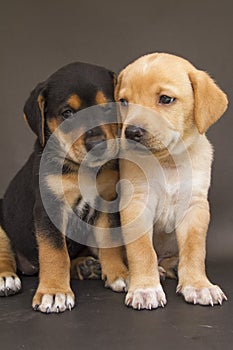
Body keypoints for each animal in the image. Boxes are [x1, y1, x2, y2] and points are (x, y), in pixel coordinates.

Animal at [0, 61, 127, 314]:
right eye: (68, 113)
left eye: (107, 108)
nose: (97, 144)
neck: (81, 169)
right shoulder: (49, 209)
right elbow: (54, 252)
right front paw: (54, 292)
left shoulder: (107, 202)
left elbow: (110, 243)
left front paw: (120, 274)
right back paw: (6, 277)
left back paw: (86, 266)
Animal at [114, 52, 228, 308]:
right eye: (124, 101)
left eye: (166, 99)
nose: (132, 132)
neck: (167, 162)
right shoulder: (136, 203)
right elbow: (142, 250)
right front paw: (145, 287)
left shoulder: (194, 206)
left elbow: (195, 250)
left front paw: (198, 285)